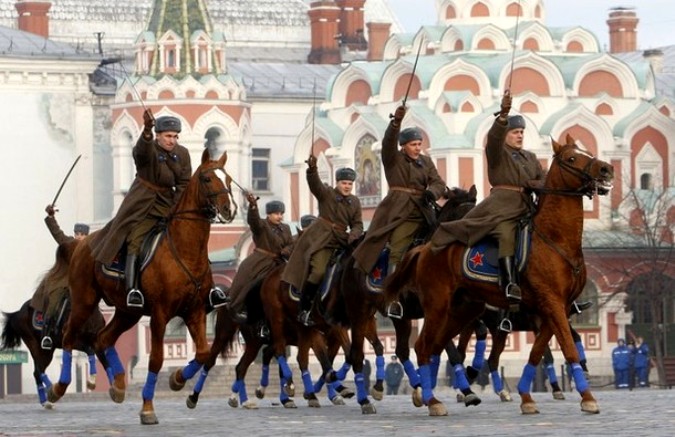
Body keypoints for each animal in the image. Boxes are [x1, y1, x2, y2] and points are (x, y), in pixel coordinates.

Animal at [45, 149, 235, 422]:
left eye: (228, 179)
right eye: (208, 179)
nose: (229, 209)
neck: (185, 250)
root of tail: (80, 244)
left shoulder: (195, 311)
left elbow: (203, 353)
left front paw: (177, 380)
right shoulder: (159, 315)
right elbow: (156, 359)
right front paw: (147, 407)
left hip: (128, 312)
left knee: (102, 339)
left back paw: (118, 386)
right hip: (84, 302)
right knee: (70, 337)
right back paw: (59, 388)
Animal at [386, 136, 612, 416]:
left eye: (587, 151)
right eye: (572, 158)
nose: (606, 169)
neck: (555, 240)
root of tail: (425, 247)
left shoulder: (556, 308)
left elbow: (538, 352)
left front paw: (526, 396)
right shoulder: (552, 305)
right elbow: (568, 349)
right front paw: (587, 397)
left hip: (462, 312)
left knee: (438, 347)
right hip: (436, 307)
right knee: (422, 347)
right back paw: (433, 399)